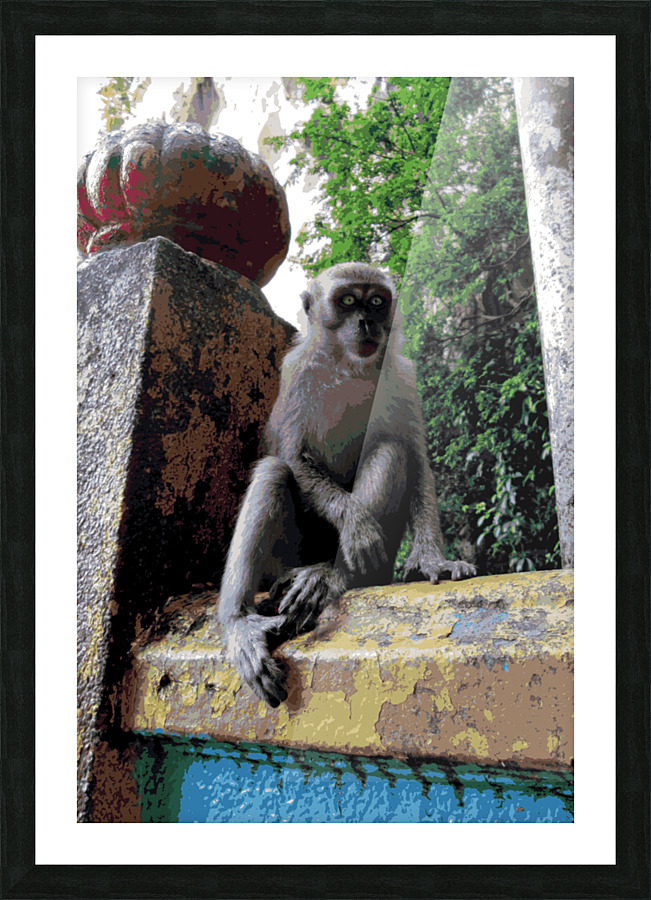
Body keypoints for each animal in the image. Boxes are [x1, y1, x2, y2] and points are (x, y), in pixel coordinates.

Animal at [219, 262, 476, 707]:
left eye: (376, 302)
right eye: (348, 300)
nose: (366, 322)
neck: (349, 368)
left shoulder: (401, 375)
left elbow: (414, 457)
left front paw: (431, 559)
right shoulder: (298, 371)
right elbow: (294, 456)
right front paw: (354, 521)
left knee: (390, 449)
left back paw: (333, 577)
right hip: (285, 558)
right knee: (273, 472)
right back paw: (239, 622)